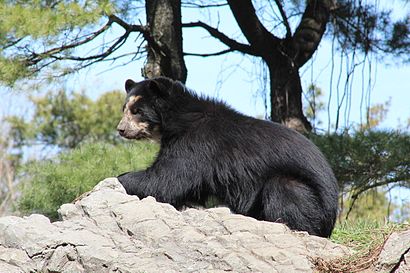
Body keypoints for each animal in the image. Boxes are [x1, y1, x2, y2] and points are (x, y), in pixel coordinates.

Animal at [116, 76, 340, 236]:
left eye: (137, 111)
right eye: (125, 109)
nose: (120, 130)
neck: (177, 116)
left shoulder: (196, 144)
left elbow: (167, 178)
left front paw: (119, 180)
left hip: (308, 197)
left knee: (285, 190)